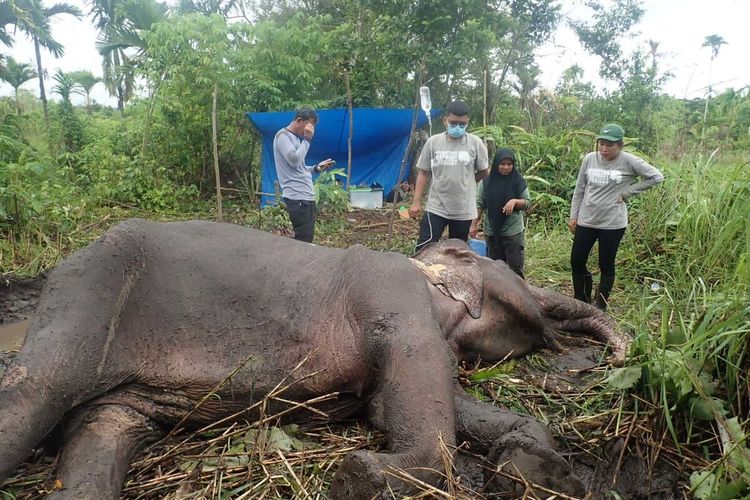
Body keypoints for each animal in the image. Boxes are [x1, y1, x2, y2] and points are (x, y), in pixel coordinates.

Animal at [0, 220, 632, 500]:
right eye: (513, 273)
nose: (611, 356)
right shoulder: (390, 289)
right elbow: (416, 369)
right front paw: (357, 477)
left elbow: (401, 404)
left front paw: (538, 471)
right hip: (89, 289)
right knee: (35, 391)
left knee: (102, 431)